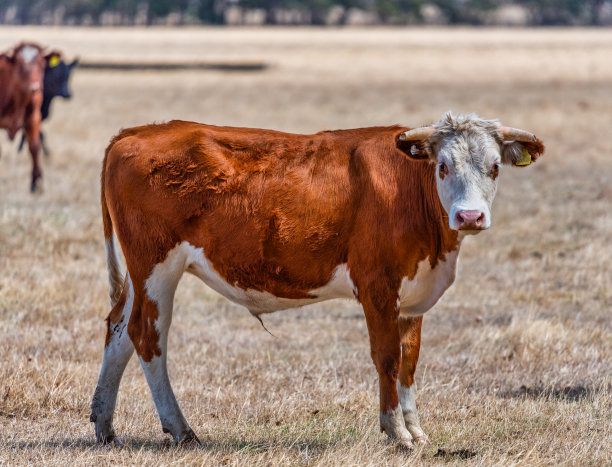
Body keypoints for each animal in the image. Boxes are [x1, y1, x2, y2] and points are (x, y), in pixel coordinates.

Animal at [0, 42, 46, 192]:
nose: (34, 88)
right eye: (19, 64)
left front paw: (36, 183)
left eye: (41, 64)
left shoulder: (34, 118)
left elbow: (34, 147)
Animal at [91, 112, 544, 446]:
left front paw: (415, 430)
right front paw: (395, 432)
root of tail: (137, 132)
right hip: (156, 266)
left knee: (119, 329)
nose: (469, 216)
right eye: (444, 166)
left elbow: (410, 362)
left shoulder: (413, 295)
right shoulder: (378, 287)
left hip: (139, 275)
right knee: (147, 335)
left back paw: (105, 425)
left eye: (495, 167)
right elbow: (388, 359)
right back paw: (180, 428)